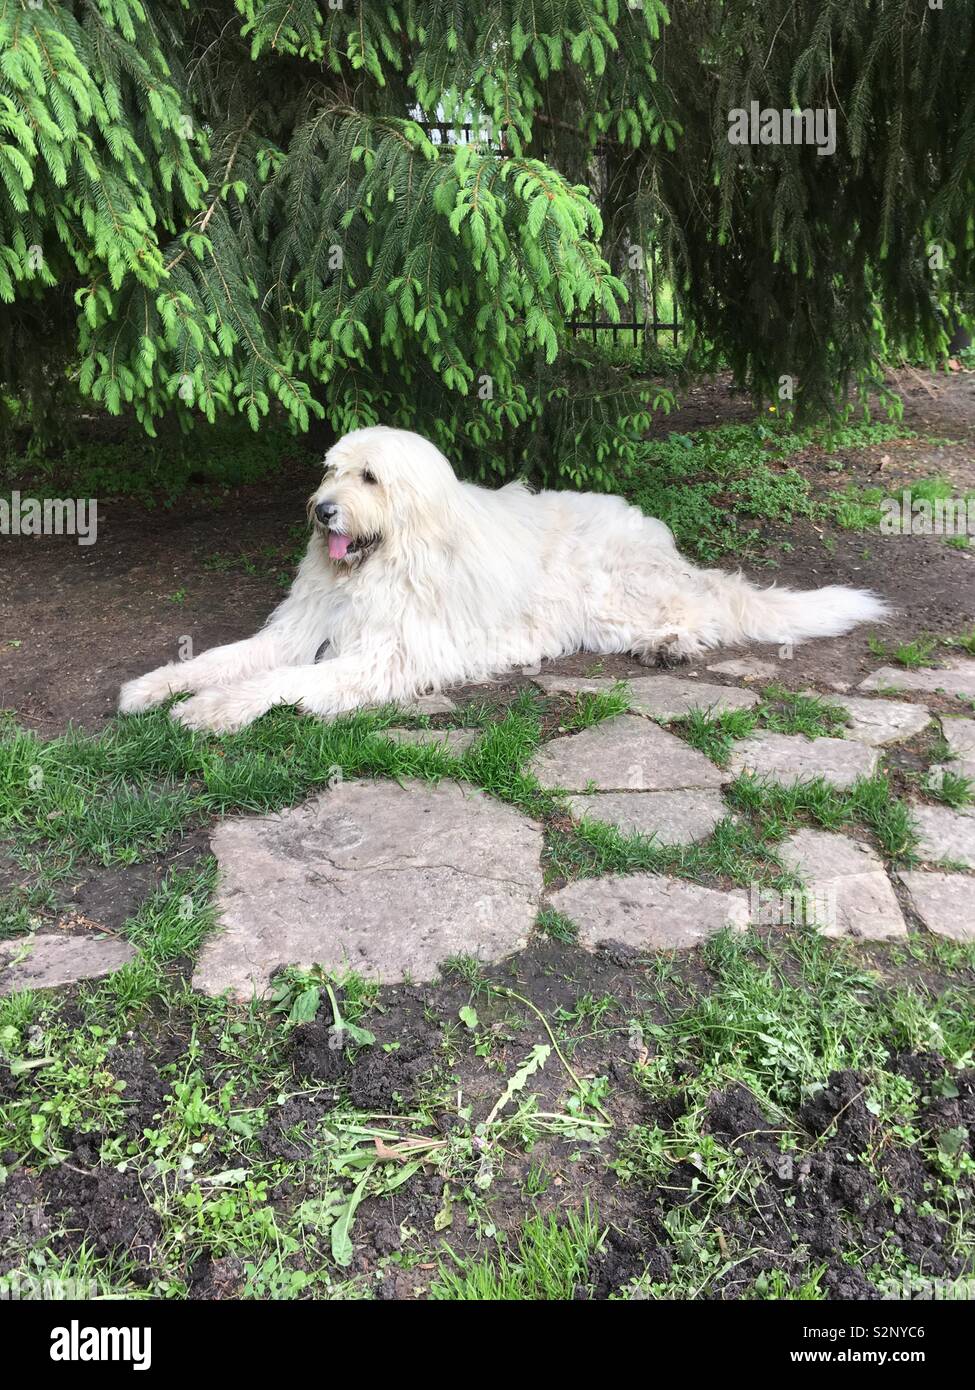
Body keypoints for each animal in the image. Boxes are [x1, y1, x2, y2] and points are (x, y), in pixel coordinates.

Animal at [118, 425, 884, 733]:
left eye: (370, 477)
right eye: (331, 470)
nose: (320, 510)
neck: (386, 561)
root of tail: (659, 537)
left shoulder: (387, 657)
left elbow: (284, 681)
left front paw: (214, 709)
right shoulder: (299, 629)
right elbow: (230, 658)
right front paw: (156, 687)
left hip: (614, 598)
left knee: (707, 612)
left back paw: (669, 645)